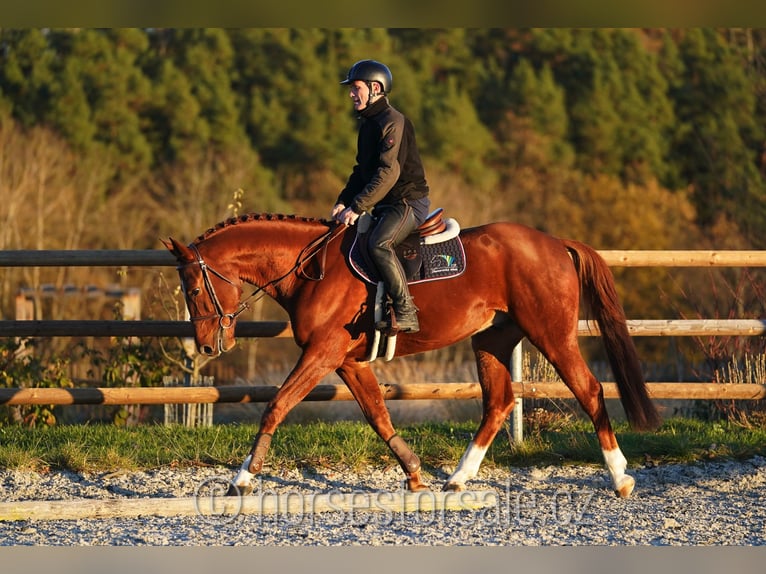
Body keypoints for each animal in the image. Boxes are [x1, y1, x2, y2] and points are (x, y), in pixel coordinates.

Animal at [165, 212, 664, 500]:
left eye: (193, 288)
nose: (207, 346)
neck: (311, 269)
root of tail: (555, 243)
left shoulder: (323, 353)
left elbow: (277, 405)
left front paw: (243, 478)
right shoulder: (347, 360)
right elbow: (377, 414)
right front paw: (415, 472)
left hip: (551, 334)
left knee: (589, 389)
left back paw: (620, 476)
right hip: (492, 340)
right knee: (499, 403)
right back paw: (458, 477)